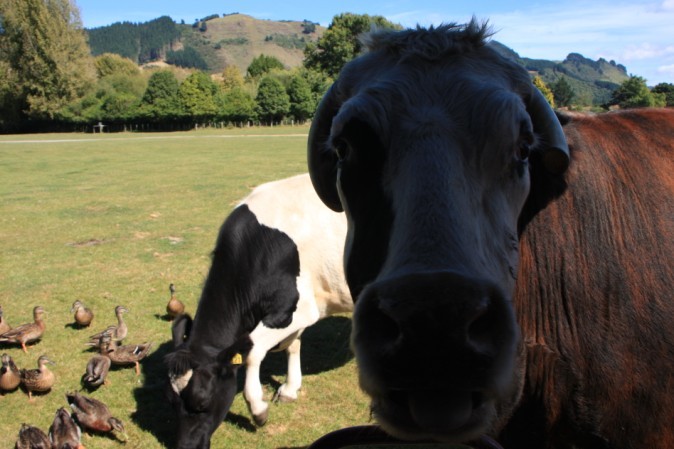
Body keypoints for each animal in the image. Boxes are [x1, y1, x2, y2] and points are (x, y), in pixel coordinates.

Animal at [165, 173, 350, 446]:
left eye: (202, 402)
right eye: (171, 401)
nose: (184, 446)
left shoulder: (299, 310)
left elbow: (252, 351)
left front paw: (258, 408)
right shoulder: (291, 314)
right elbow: (292, 346)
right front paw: (290, 389)